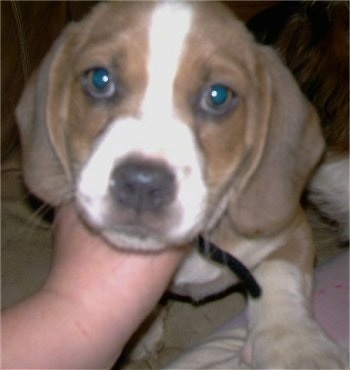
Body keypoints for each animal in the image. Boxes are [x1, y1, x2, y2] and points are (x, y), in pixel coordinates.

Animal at [15, 1, 348, 368]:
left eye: (218, 96)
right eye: (100, 80)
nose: (142, 183)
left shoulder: (291, 231)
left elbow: (280, 276)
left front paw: (297, 347)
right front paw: (143, 332)